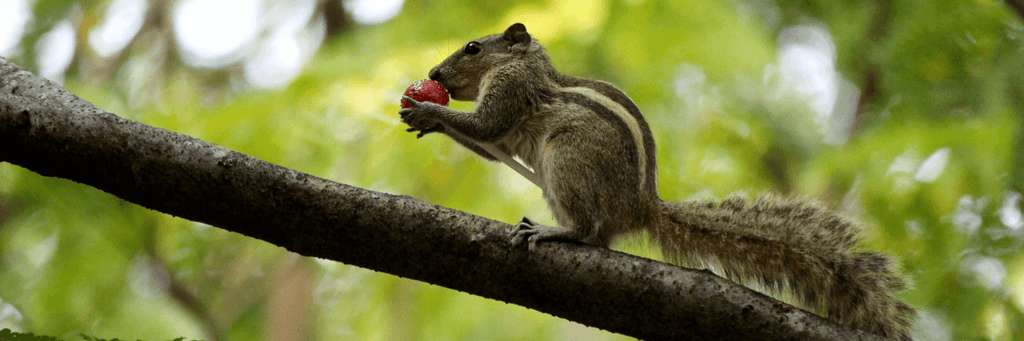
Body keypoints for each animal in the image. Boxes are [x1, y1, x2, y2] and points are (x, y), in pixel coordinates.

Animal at [395, 22, 917, 337]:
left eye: (473, 47)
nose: (432, 73)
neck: (524, 64)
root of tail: (641, 206)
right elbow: (487, 143)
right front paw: (430, 119)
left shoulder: (512, 88)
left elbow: (486, 127)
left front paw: (426, 107)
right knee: (601, 238)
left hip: (567, 161)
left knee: (590, 232)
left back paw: (555, 231)